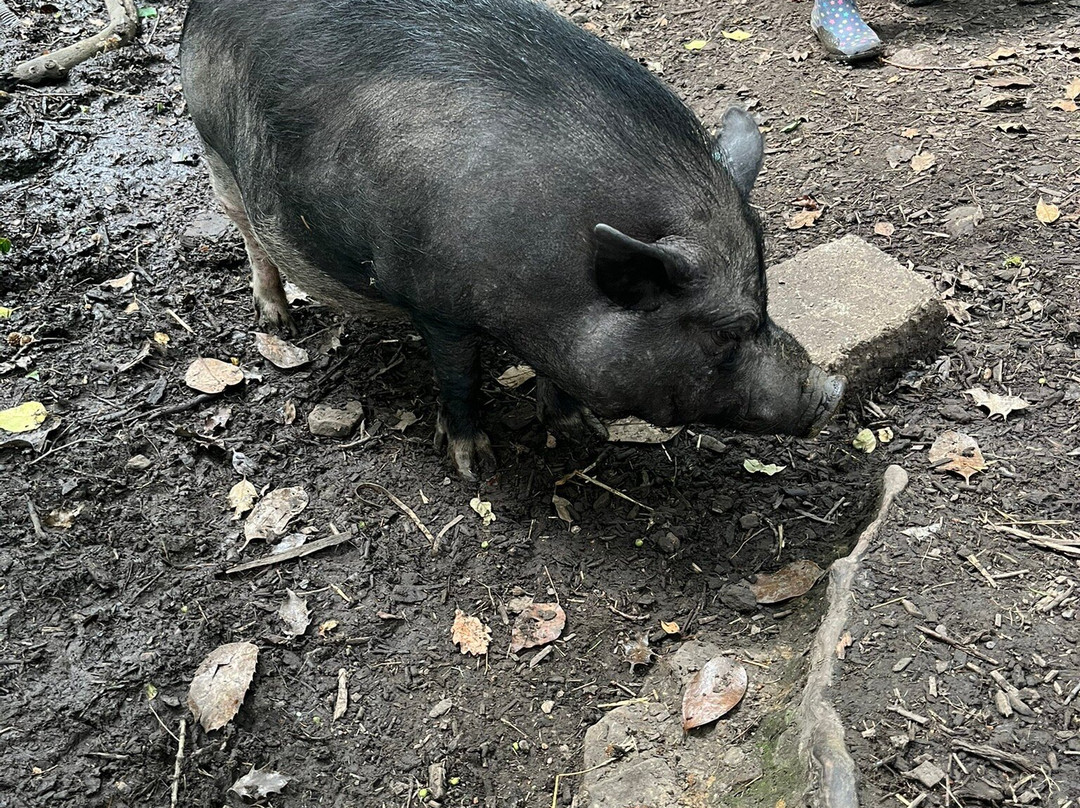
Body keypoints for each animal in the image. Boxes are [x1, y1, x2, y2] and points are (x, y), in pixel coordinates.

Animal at [180, 0, 845, 479]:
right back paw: (279, 323)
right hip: (213, 148)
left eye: (765, 303)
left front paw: (583, 431)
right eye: (727, 331)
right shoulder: (437, 304)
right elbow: (460, 380)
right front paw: (476, 467)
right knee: (250, 234)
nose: (831, 390)